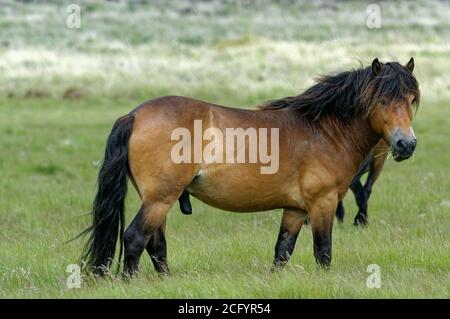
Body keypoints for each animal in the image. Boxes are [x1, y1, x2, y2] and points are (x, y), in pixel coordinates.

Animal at [80, 57, 418, 278]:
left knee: (155, 244)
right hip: (160, 199)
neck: (323, 130)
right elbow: (323, 252)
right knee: (136, 238)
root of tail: (135, 114)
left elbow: (282, 251)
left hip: (156, 201)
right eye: (382, 100)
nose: (406, 144)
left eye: (411, 99)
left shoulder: (296, 210)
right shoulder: (323, 204)